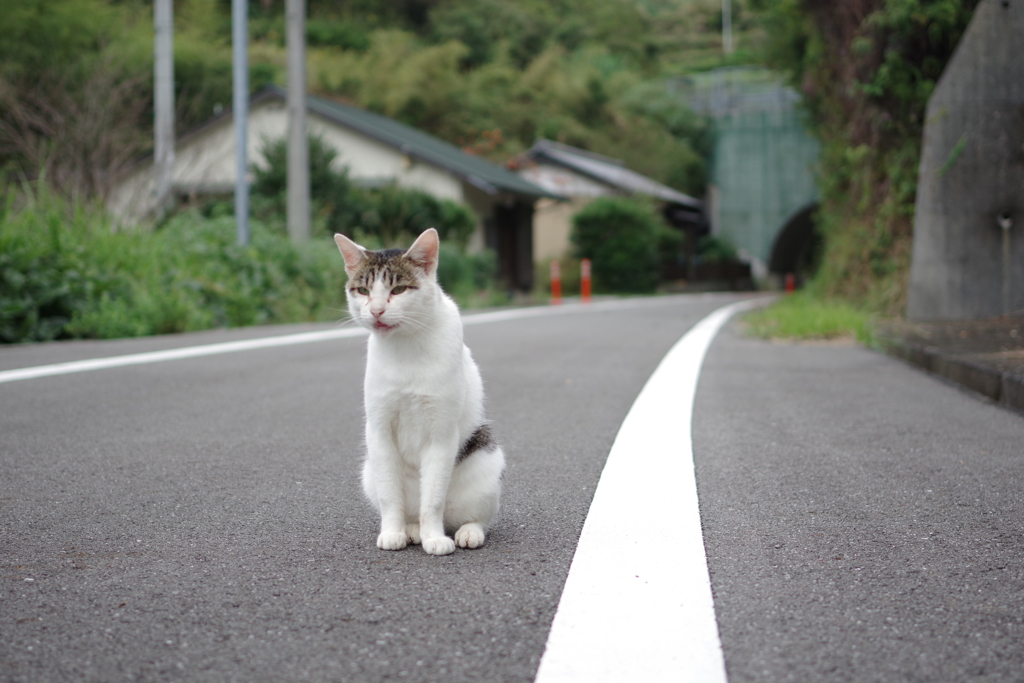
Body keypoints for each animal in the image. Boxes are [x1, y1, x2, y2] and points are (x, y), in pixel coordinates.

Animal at [333, 229, 505, 557]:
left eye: (398, 289)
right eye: (362, 290)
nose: (376, 310)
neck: (405, 346)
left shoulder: (441, 432)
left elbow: (433, 498)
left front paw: (434, 538)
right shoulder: (379, 429)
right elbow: (390, 496)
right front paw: (392, 533)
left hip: (487, 466)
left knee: (475, 517)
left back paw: (465, 532)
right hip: (369, 471)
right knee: (408, 509)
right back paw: (411, 530)